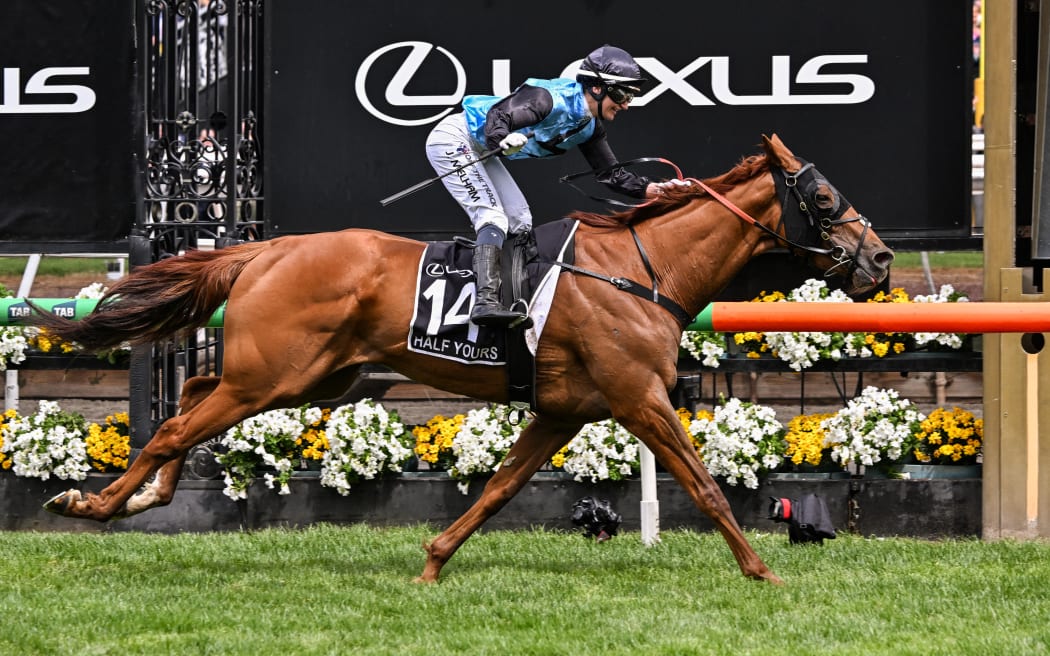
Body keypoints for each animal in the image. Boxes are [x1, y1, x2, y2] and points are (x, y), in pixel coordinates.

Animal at [33, 134, 893, 585]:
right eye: (823, 200)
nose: (881, 259)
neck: (642, 268)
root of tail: (269, 247)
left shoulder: (563, 410)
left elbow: (498, 491)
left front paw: (433, 562)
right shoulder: (639, 398)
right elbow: (706, 486)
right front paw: (761, 570)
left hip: (307, 379)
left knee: (192, 397)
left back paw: (140, 499)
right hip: (273, 374)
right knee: (180, 424)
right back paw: (95, 505)